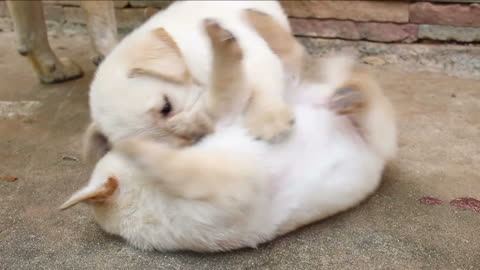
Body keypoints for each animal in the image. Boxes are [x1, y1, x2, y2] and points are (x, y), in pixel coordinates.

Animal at [83, 0, 304, 160]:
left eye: (166, 107)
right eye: (157, 144)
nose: (198, 138)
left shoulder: (256, 57)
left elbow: (261, 87)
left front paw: (269, 118)